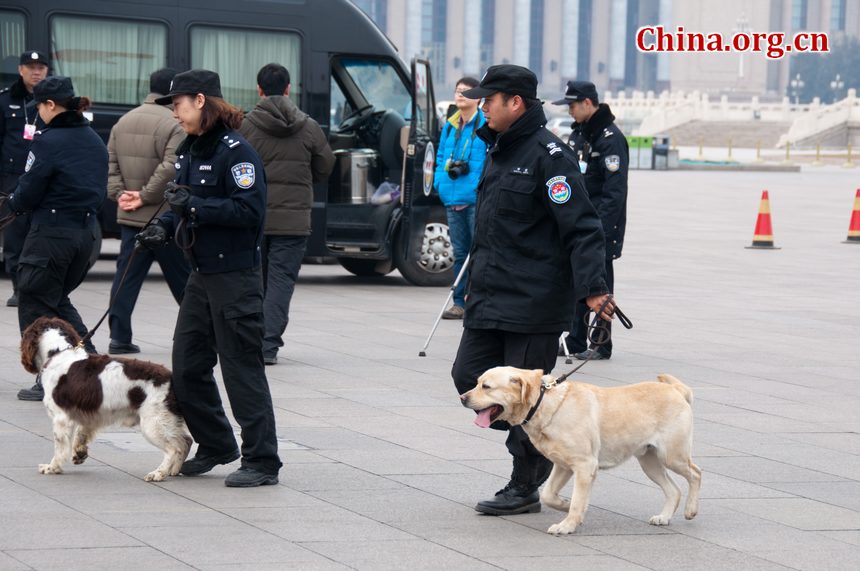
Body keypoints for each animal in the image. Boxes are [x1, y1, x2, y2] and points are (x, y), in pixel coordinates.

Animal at [464, 368, 700, 536]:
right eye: (476, 383)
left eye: (486, 386)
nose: (462, 398)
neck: (545, 405)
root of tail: (676, 389)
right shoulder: (563, 465)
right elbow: (549, 494)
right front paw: (565, 505)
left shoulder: (585, 465)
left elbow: (578, 500)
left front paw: (567, 525)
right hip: (649, 461)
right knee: (674, 490)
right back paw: (663, 517)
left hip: (672, 455)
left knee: (696, 474)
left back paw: (691, 510)